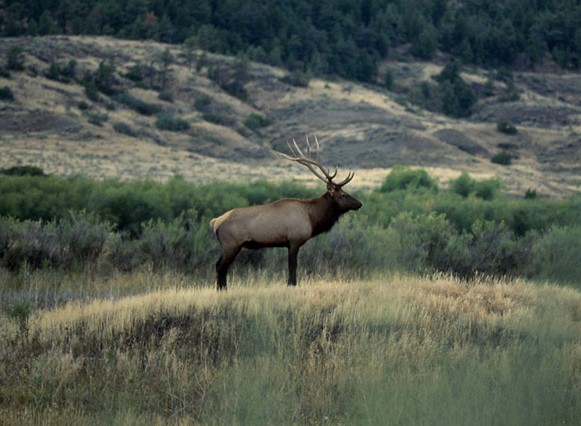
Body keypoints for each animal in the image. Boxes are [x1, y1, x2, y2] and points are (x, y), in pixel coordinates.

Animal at [208, 136, 362, 290]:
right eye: (343, 195)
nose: (359, 203)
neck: (312, 217)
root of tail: (215, 222)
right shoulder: (294, 240)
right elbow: (292, 267)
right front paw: (291, 285)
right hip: (231, 244)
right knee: (220, 266)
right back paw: (222, 289)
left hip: (230, 246)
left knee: (220, 266)